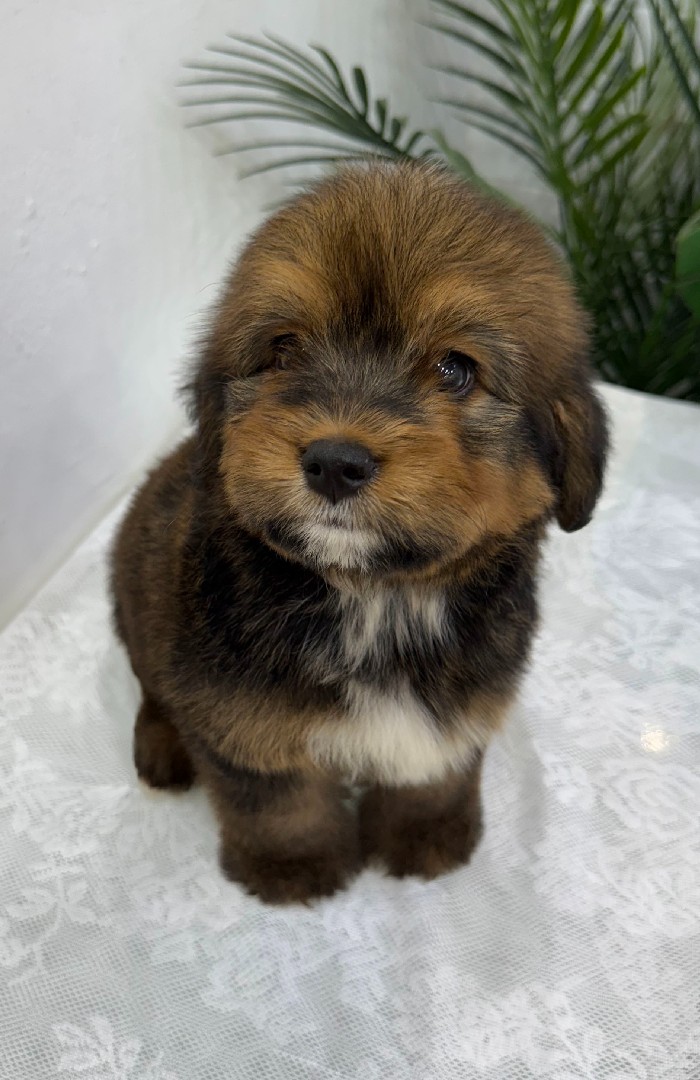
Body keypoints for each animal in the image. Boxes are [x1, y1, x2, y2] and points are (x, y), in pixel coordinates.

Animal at [111, 161, 607, 904]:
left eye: (455, 369)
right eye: (284, 349)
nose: (334, 464)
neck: (377, 599)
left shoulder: (457, 705)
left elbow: (433, 774)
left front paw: (426, 837)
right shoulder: (241, 716)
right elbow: (280, 800)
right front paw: (294, 868)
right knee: (150, 686)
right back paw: (161, 744)